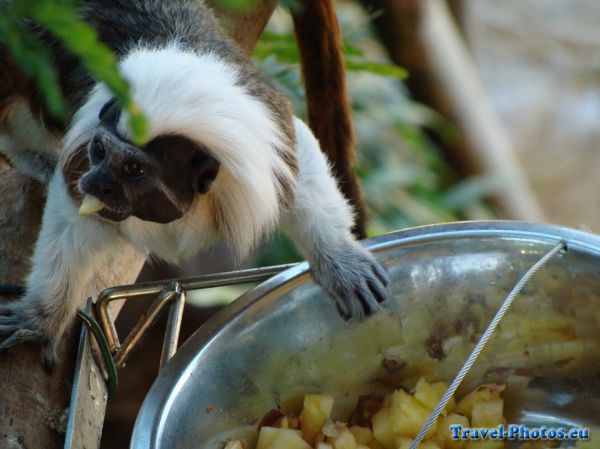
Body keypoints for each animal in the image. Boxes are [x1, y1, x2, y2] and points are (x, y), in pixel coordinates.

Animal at [0, 0, 390, 368]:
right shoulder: (82, 151)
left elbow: (301, 160)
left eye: (133, 169)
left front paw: (340, 260)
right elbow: (70, 218)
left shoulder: (267, 137)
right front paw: (42, 318)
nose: (96, 184)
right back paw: (26, 150)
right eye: (100, 150)